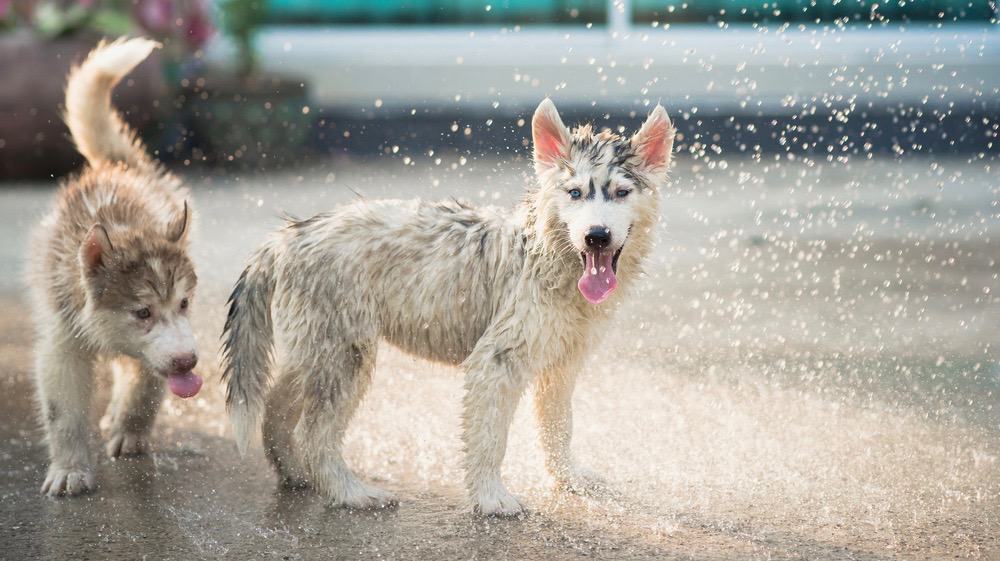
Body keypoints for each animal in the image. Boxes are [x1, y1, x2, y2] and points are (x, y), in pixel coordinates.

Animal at [223, 99, 676, 512]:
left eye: (621, 193)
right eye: (575, 193)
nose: (596, 236)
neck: (546, 255)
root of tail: (289, 236)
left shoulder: (562, 364)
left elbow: (558, 428)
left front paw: (571, 479)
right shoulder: (497, 359)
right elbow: (490, 436)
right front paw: (492, 499)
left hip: (317, 346)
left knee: (277, 406)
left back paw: (295, 474)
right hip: (345, 352)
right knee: (314, 433)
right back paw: (350, 493)